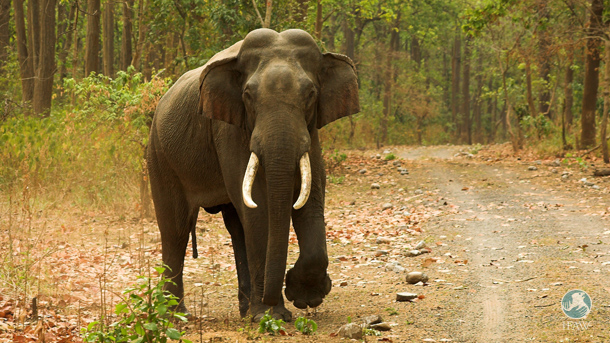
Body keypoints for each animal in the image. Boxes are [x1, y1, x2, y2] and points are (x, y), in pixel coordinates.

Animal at [145, 27, 358, 322]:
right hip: (160, 157)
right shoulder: (228, 128)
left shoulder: (310, 130)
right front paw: (270, 316)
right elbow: (258, 208)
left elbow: (311, 197)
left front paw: (303, 298)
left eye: (311, 94)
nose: (273, 298)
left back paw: (244, 310)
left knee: (235, 227)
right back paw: (175, 315)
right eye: (247, 95)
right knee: (175, 229)